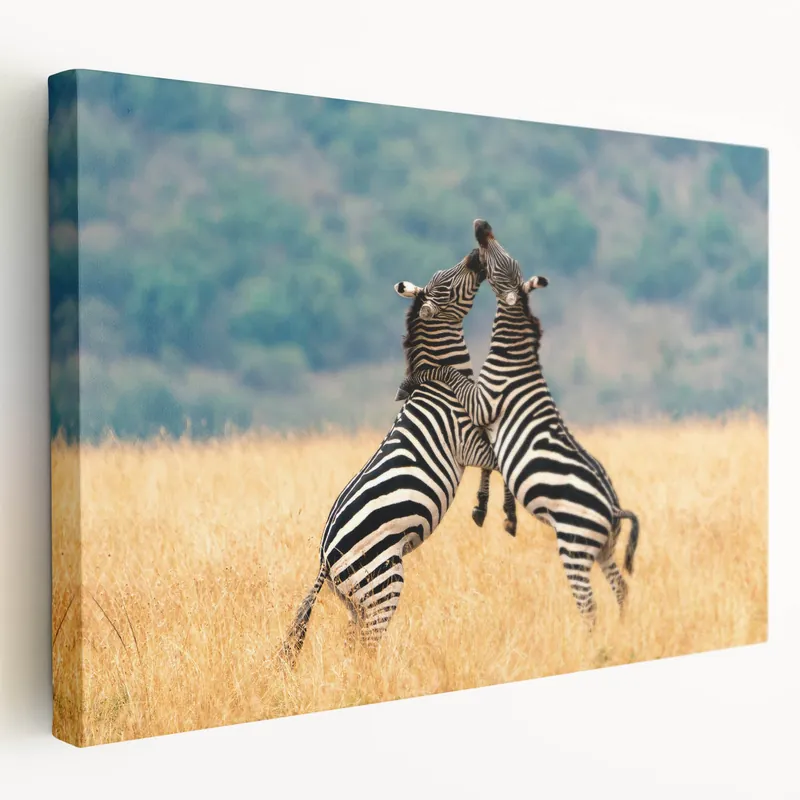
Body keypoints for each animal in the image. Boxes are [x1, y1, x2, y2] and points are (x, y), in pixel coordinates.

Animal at [279, 248, 517, 665]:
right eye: (448, 283)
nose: (475, 254)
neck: (443, 381)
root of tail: (325, 556)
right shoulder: (467, 438)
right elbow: (497, 457)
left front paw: (485, 505)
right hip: (382, 583)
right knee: (367, 646)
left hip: (356, 599)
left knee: (353, 646)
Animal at [396, 220, 640, 629]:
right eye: (505, 254)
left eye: (498, 266)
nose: (481, 227)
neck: (514, 358)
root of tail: (612, 509)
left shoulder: (483, 403)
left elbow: (449, 375)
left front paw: (419, 377)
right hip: (604, 548)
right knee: (621, 588)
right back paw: (623, 630)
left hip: (574, 544)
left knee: (588, 603)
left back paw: (588, 637)